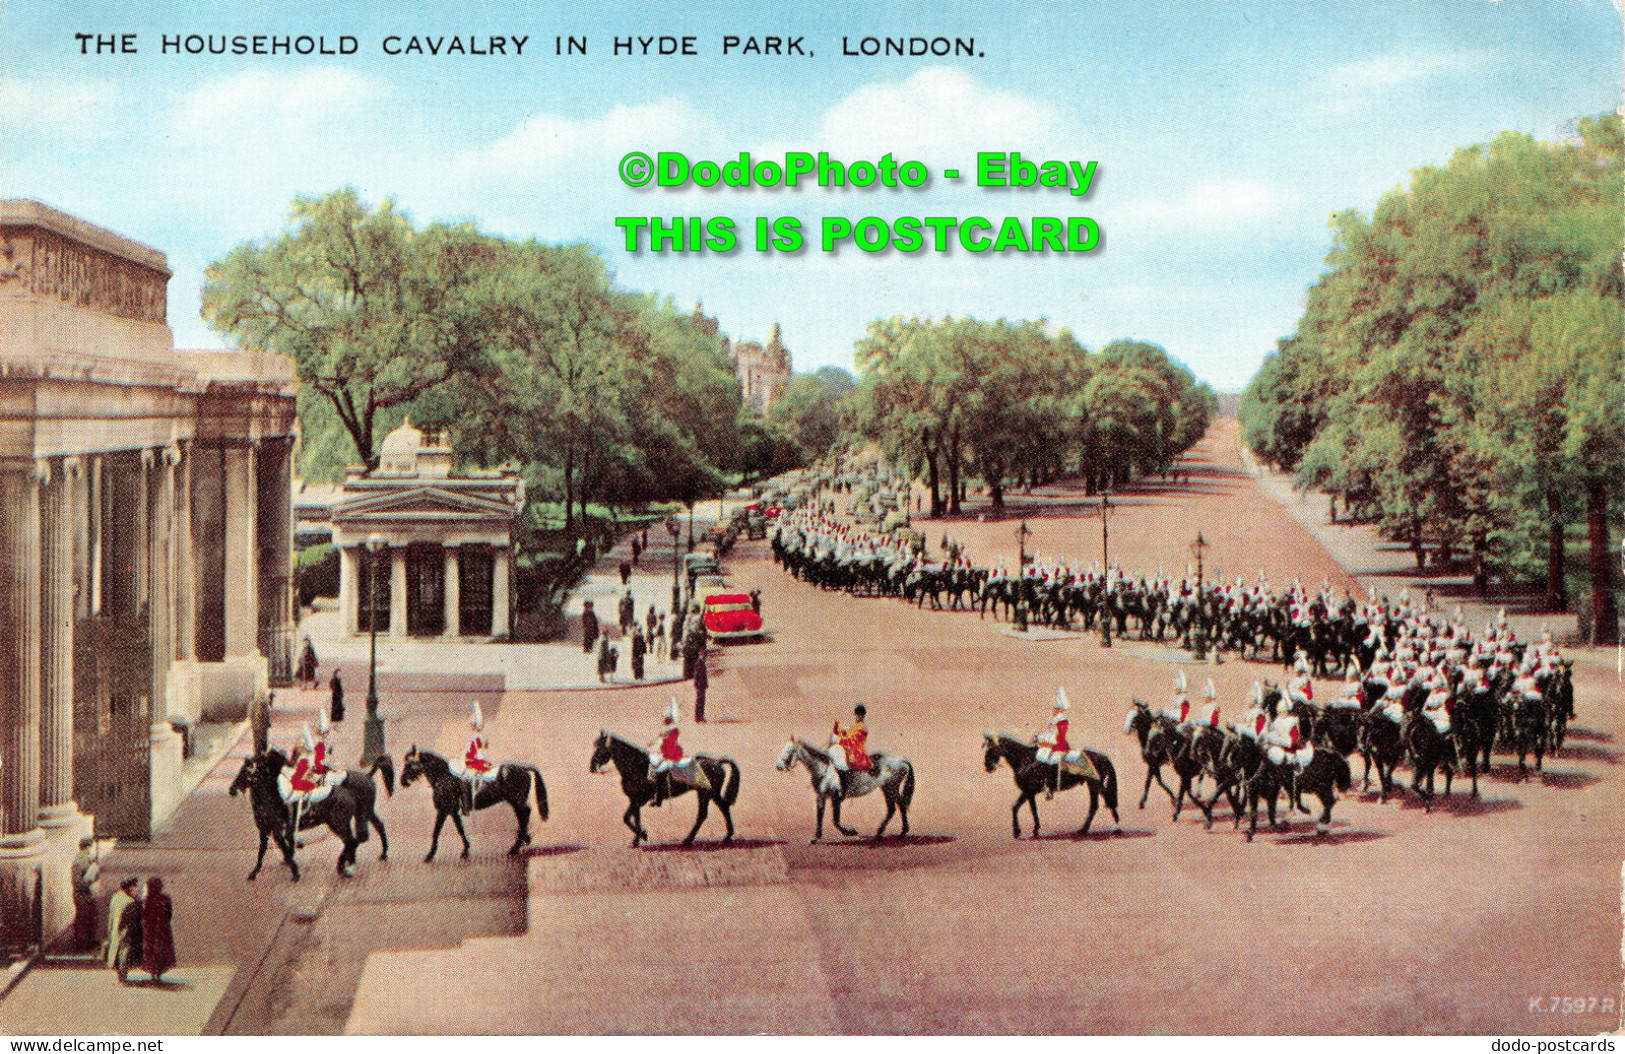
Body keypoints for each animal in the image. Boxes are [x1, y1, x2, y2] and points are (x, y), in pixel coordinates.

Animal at [227, 747, 391, 876]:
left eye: (246, 771)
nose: (232, 789)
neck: (273, 797)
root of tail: (368, 776)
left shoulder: (276, 830)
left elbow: (281, 849)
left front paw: (293, 869)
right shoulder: (268, 830)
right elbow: (266, 851)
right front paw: (257, 871)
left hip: (343, 821)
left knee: (354, 839)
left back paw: (344, 866)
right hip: (363, 813)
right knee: (372, 830)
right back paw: (374, 857)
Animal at [399, 743, 552, 857]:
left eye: (409, 763)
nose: (402, 781)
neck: (443, 776)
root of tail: (524, 768)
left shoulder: (444, 809)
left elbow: (437, 830)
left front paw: (430, 855)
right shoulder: (452, 810)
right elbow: (460, 829)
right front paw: (465, 849)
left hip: (516, 801)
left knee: (524, 816)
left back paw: (516, 846)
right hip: (515, 802)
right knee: (523, 817)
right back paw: (523, 840)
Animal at [591, 730, 744, 844]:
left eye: (600, 747)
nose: (592, 767)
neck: (637, 766)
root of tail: (717, 761)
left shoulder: (639, 799)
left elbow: (626, 818)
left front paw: (643, 834)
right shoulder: (634, 799)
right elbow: (635, 818)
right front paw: (637, 839)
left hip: (706, 793)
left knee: (706, 813)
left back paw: (692, 839)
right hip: (709, 793)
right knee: (721, 808)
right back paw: (724, 836)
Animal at [773, 737, 916, 844]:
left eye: (790, 750)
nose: (779, 766)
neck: (824, 769)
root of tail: (902, 759)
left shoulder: (836, 797)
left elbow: (835, 820)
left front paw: (850, 832)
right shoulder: (821, 796)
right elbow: (820, 815)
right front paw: (816, 837)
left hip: (890, 787)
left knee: (896, 807)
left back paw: (886, 834)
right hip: (888, 788)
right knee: (898, 806)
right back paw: (893, 833)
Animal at [975, 730, 1118, 838]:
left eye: (991, 748)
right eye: (984, 747)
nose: (987, 767)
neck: (1024, 759)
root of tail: (1102, 756)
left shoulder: (1028, 790)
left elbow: (1021, 808)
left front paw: (1020, 831)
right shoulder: (1029, 792)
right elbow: (1027, 808)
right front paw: (1030, 830)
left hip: (1095, 784)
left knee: (1102, 803)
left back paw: (1111, 828)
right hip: (1094, 785)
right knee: (1099, 804)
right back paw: (1088, 829)